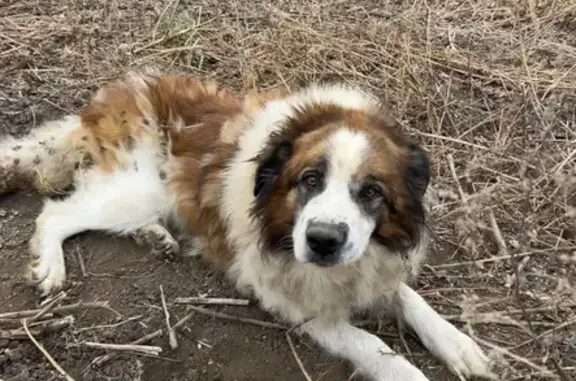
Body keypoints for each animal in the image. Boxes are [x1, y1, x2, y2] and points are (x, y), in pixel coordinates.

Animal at [0, 72, 496, 380]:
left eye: (371, 192)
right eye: (309, 180)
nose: (323, 242)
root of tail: (109, 98)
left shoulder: (372, 260)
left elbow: (410, 299)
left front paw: (457, 343)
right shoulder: (292, 297)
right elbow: (370, 343)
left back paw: (156, 236)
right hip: (145, 188)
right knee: (57, 212)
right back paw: (52, 266)